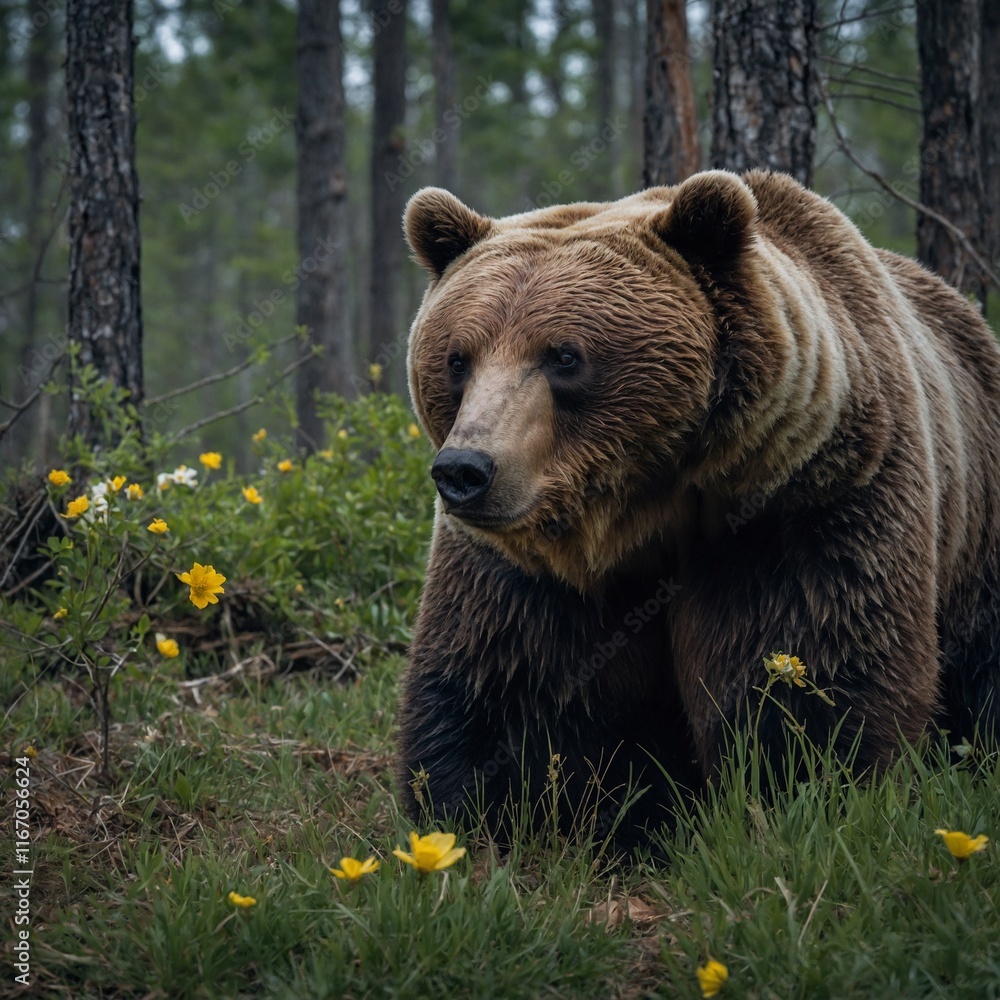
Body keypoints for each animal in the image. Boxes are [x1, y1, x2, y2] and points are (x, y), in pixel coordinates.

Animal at [395, 168, 1000, 847]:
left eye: (564, 355)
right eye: (457, 359)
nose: (464, 471)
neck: (638, 515)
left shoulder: (803, 505)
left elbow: (812, 672)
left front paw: (802, 792)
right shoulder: (525, 572)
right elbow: (502, 683)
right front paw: (489, 816)